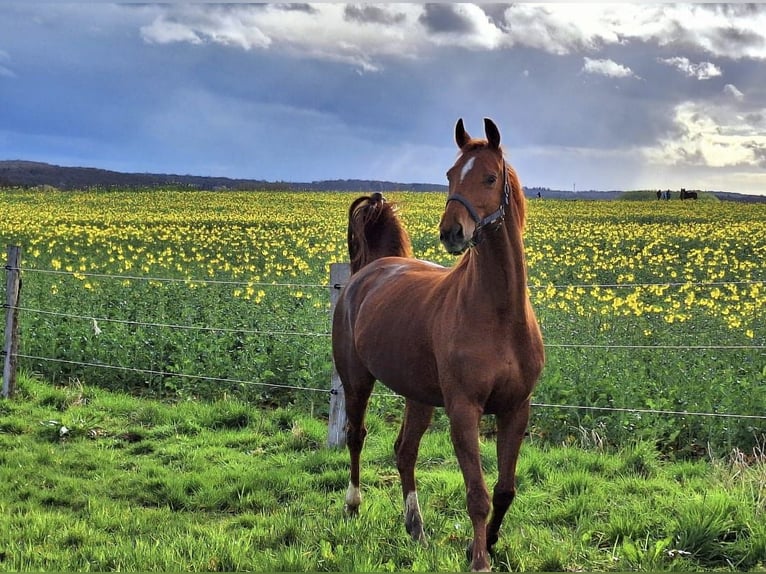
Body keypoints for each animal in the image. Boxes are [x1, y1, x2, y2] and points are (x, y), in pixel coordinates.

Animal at [332, 118, 545, 571]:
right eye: (449, 174)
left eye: (489, 177)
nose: (452, 232)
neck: (499, 314)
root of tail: (371, 269)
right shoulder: (464, 410)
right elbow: (477, 494)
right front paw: (478, 559)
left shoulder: (516, 409)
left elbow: (505, 489)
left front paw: (487, 544)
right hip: (357, 382)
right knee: (356, 435)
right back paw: (353, 504)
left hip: (419, 397)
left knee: (404, 450)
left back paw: (416, 528)